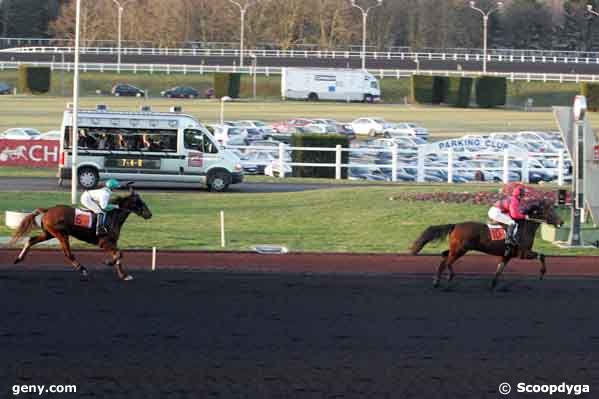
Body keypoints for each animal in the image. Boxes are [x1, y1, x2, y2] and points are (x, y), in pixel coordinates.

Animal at [8, 188, 152, 282]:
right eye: (140, 202)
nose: (149, 214)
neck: (113, 216)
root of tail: (48, 210)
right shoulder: (104, 242)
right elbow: (119, 254)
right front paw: (108, 262)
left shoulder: (112, 242)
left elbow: (119, 255)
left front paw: (123, 275)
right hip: (61, 234)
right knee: (68, 253)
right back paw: (82, 268)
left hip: (49, 233)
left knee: (31, 240)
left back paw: (18, 259)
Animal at [410, 200, 564, 290]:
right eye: (550, 210)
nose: (562, 222)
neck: (524, 227)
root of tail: (455, 225)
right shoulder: (523, 253)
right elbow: (542, 256)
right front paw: (542, 273)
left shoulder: (507, 255)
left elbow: (499, 269)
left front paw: (493, 284)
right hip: (460, 249)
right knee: (447, 261)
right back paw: (447, 277)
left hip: (457, 248)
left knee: (444, 256)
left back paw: (438, 280)